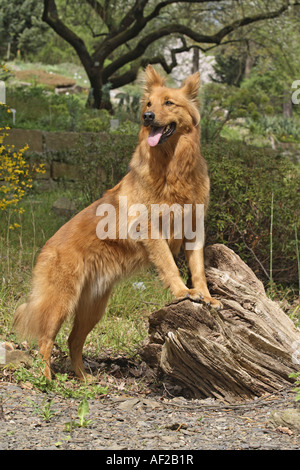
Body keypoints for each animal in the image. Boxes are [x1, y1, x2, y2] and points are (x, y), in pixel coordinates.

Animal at [12, 65, 221, 382]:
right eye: (148, 104)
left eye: (169, 103)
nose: (147, 117)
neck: (173, 168)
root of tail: (47, 247)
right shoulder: (152, 232)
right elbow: (170, 266)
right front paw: (182, 293)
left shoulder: (194, 231)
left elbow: (198, 270)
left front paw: (206, 297)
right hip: (61, 302)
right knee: (45, 340)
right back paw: (47, 380)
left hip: (93, 308)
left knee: (73, 340)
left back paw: (83, 379)